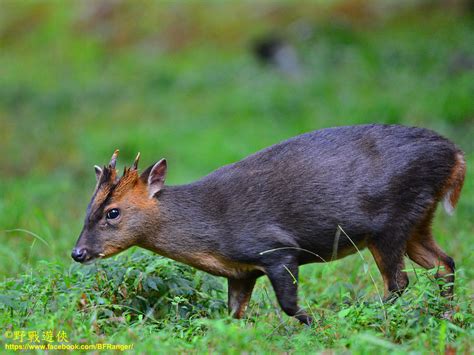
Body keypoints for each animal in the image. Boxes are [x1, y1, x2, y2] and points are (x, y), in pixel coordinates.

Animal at [72, 125, 464, 326]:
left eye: (113, 212)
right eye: (89, 207)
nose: (78, 252)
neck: (211, 230)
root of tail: (456, 155)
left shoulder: (277, 249)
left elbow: (289, 305)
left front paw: (317, 324)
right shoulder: (241, 272)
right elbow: (233, 313)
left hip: (390, 223)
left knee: (400, 281)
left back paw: (372, 315)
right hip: (417, 219)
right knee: (444, 263)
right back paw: (446, 313)